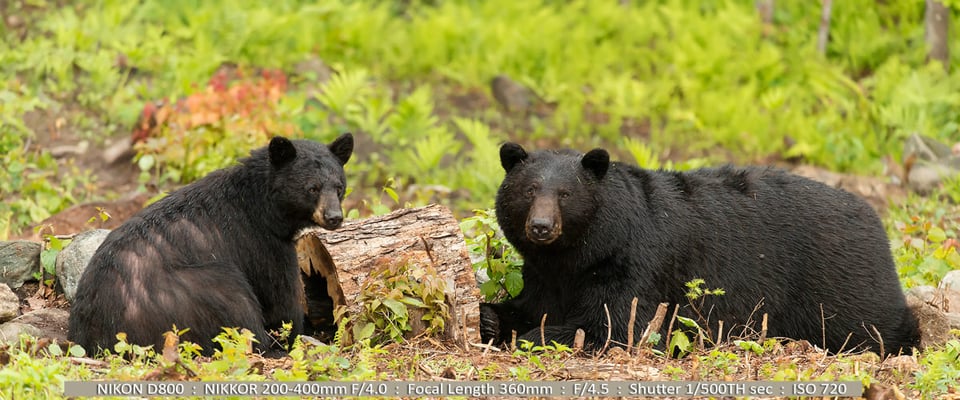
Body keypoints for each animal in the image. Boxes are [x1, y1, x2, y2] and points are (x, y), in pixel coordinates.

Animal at [68, 134, 352, 356]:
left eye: (339, 187)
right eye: (312, 188)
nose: (334, 217)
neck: (261, 204)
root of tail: (96, 332)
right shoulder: (263, 243)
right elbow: (281, 302)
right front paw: (298, 331)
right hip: (196, 294)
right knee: (238, 311)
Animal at [484, 142, 920, 354]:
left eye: (565, 193)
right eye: (529, 190)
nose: (541, 227)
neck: (577, 254)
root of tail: (876, 220)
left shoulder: (637, 263)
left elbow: (618, 324)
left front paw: (536, 337)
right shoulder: (546, 273)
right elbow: (534, 305)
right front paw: (492, 319)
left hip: (842, 287)